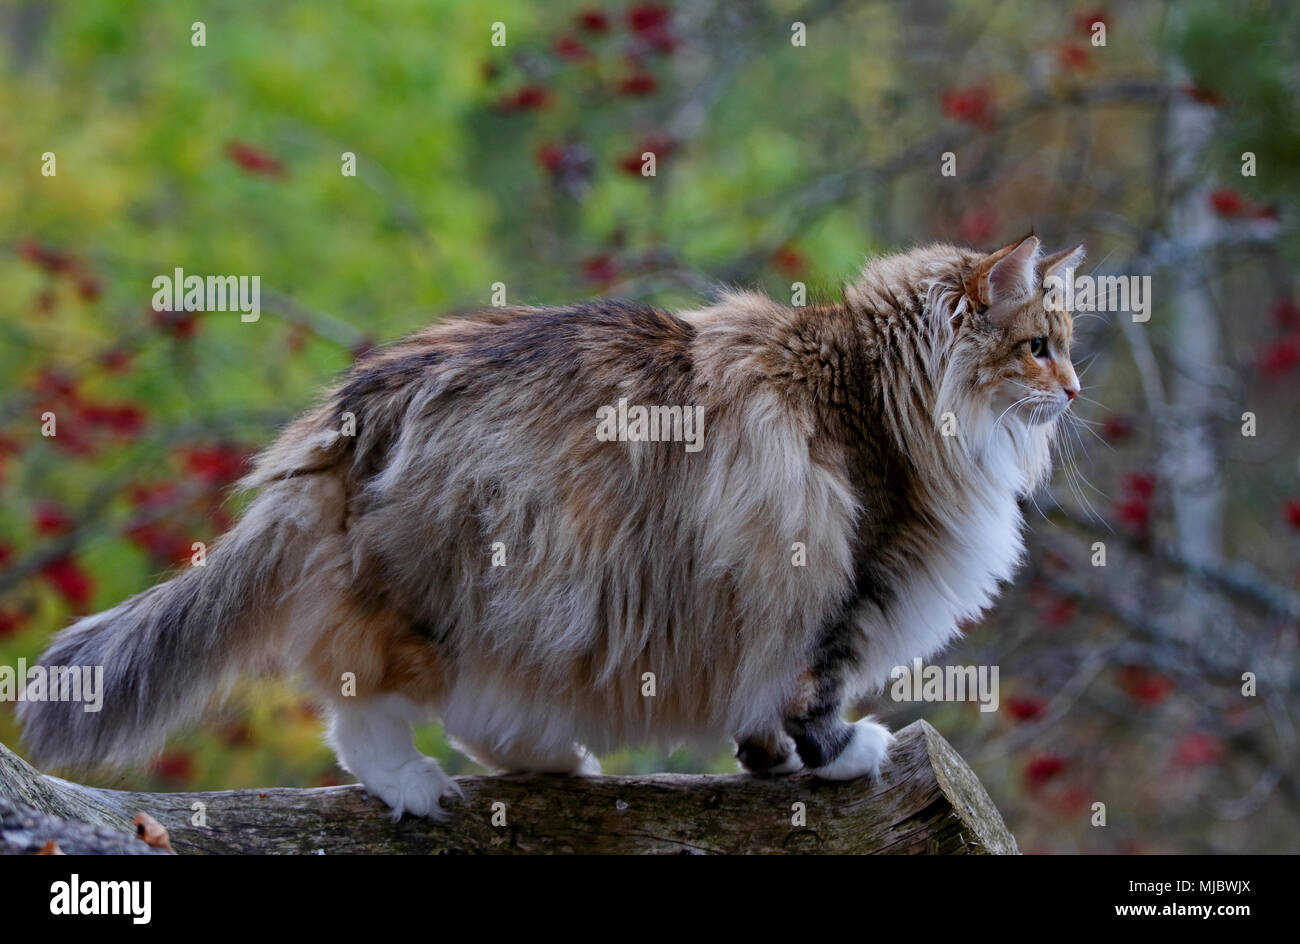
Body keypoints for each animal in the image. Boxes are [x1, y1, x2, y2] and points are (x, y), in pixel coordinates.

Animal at [17, 235, 1086, 821]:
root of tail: (359, 403)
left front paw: (767, 762)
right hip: (463, 585)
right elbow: (814, 698)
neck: (884, 391)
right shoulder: (845, 585)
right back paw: (412, 785)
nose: (1077, 391)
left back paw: (554, 760)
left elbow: (759, 713)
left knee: (478, 713)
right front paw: (844, 756)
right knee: (362, 702)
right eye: (1040, 347)